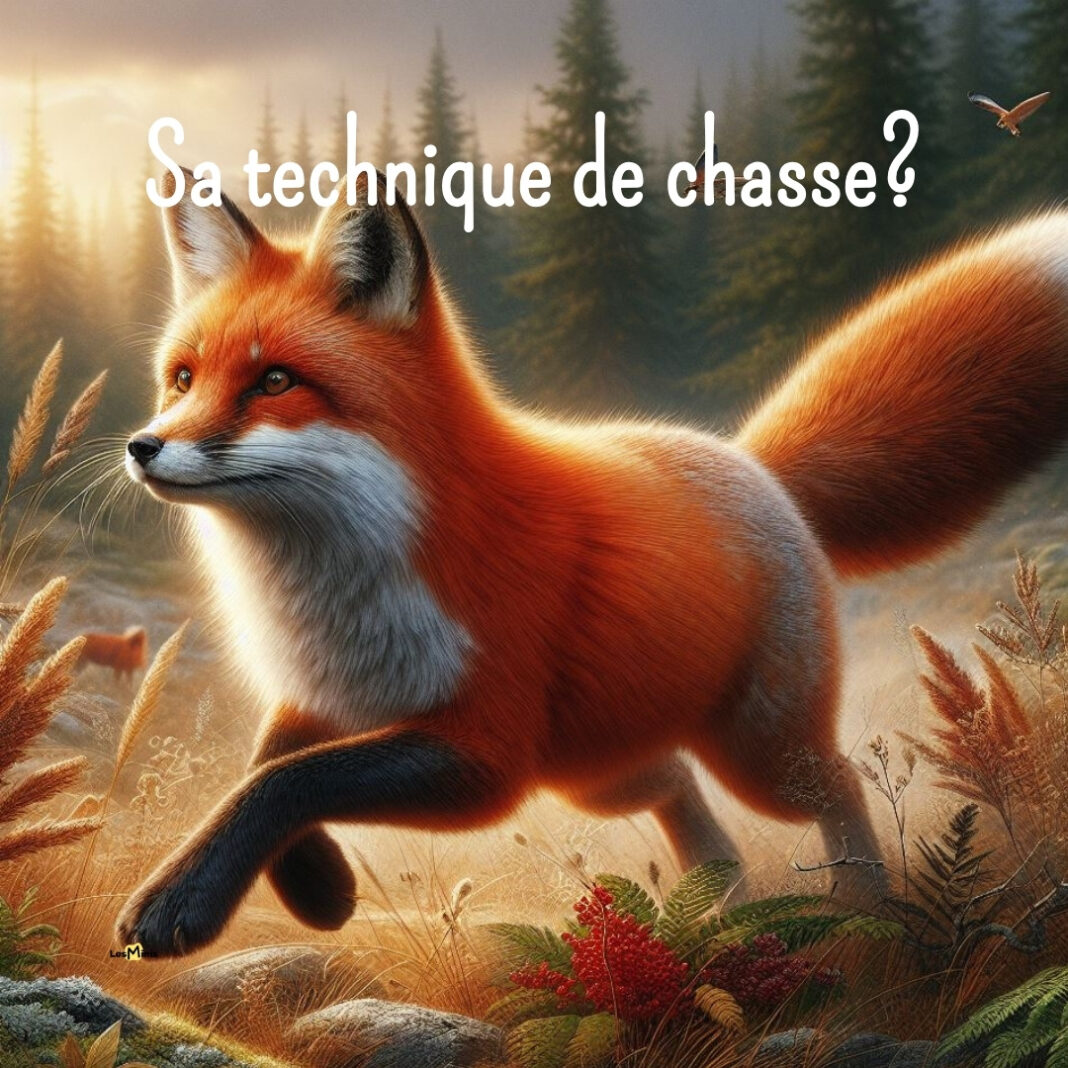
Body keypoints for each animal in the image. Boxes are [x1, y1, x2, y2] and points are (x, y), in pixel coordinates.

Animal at [117, 165, 1068, 957]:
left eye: (275, 382)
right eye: (182, 377)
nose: (143, 447)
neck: (336, 586)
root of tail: (752, 465)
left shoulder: (487, 753)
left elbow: (291, 779)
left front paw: (182, 900)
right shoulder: (329, 693)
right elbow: (268, 761)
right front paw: (318, 890)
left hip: (758, 750)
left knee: (837, 784)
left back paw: (861, 909)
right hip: (600, 769)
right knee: (682, 791)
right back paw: (721, 902)